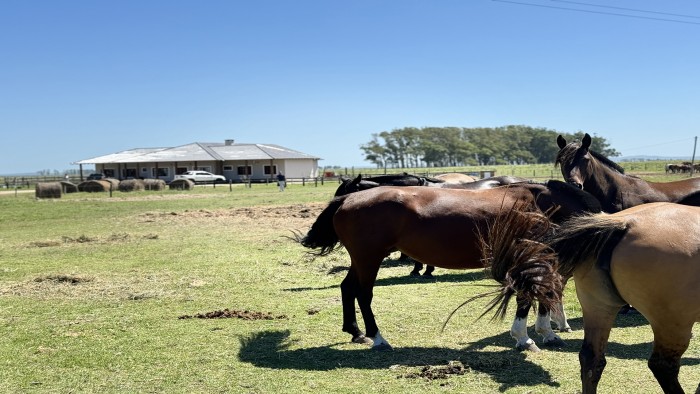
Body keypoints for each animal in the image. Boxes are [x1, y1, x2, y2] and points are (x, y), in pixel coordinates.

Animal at [298, 180, 600, 350]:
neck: (543, 204)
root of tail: (348, 199)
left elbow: (542, 292)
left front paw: (547, 332)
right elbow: (528, 296)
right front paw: (525, 338)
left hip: (361, 259)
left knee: (347, 288)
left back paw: (356, 333)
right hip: (369, 258)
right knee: (363, 294)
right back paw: (378, 338)